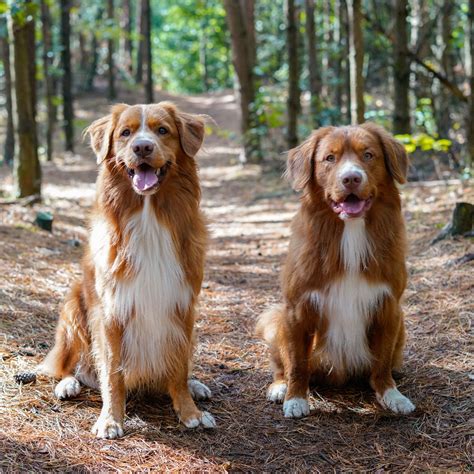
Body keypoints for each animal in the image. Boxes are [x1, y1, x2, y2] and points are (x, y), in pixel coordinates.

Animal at [39, 102, 217, 438]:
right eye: (125, 133)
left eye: (162, 130)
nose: (142, 147)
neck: (149, 216)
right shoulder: (111, 311)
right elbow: (112, 373)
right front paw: (111, 419)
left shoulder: (182, 305)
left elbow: (179, 367)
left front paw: (189, 411)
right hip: (73, 308)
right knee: (66, 366)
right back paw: (68, 384)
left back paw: (196, 385)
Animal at [256, 123, 414, 418]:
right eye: (330, 158)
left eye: (368, 155)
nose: (351, 178)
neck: (350, 234)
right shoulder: (297, 310)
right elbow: (297, 363)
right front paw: (296, 399)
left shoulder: (388, 307)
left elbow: (382, 362)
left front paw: (390, 394)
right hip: (279, 321)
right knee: (281, 365)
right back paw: (280, 387)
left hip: (401, 325)